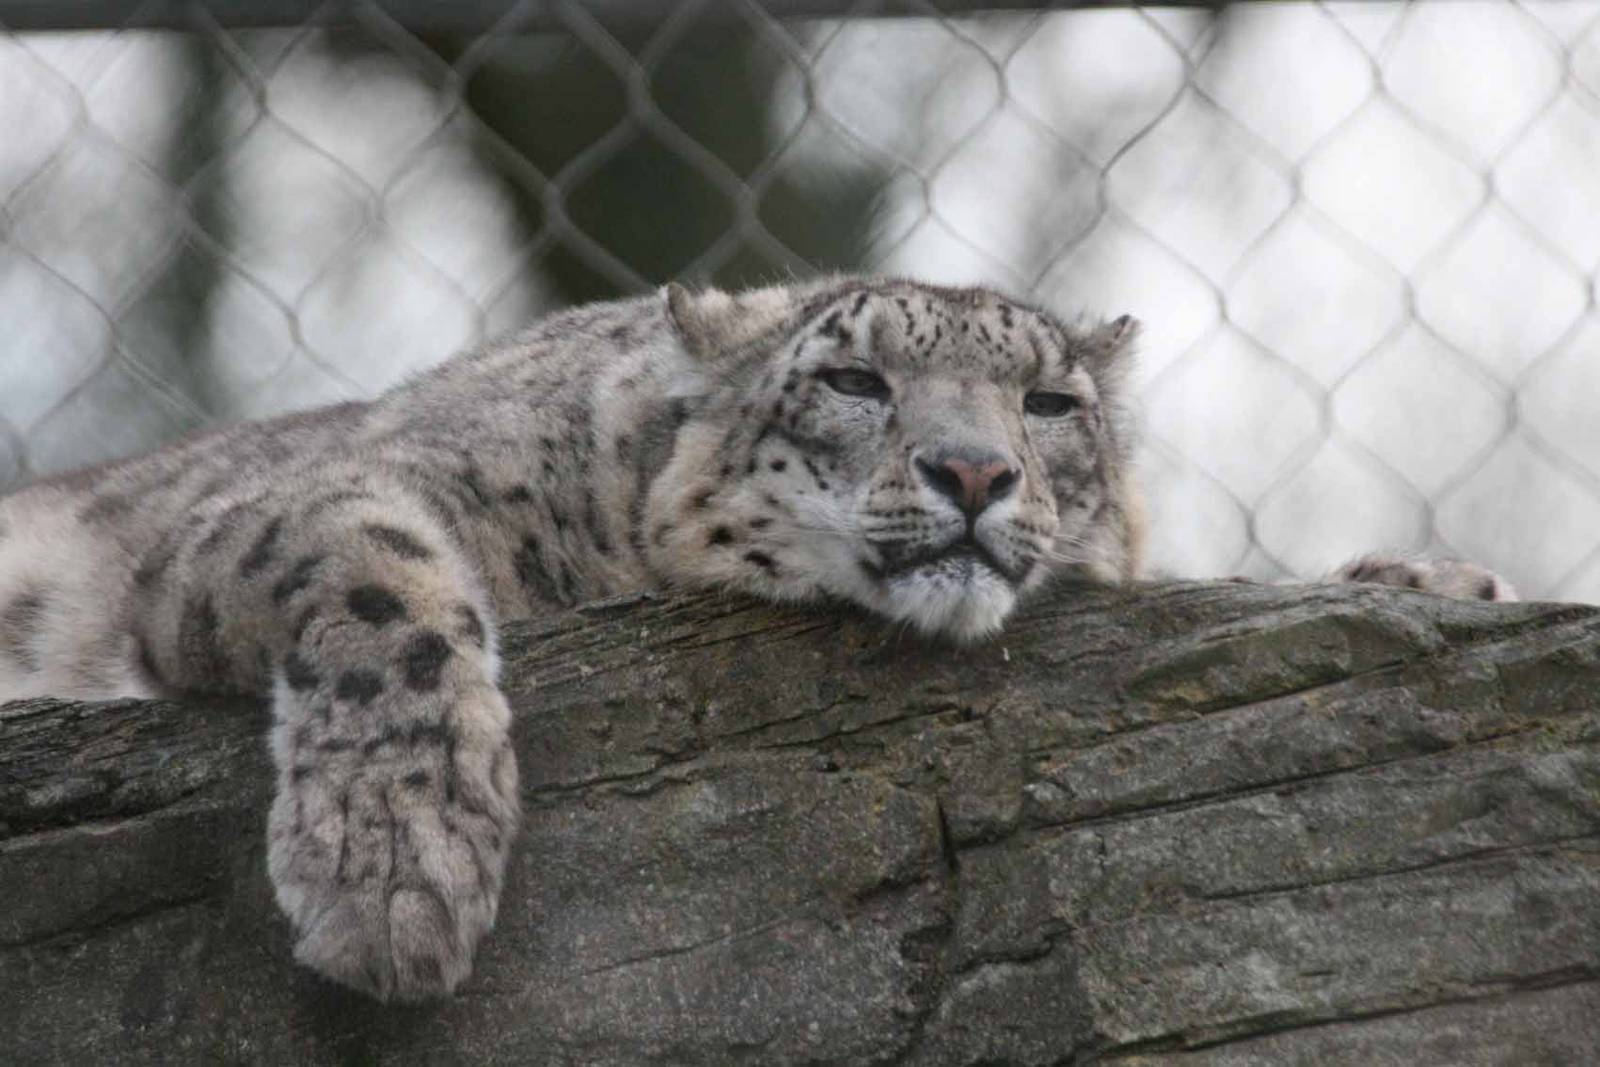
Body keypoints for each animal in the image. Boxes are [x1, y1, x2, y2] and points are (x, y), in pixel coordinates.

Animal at [0, 274, 1515, 1001]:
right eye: (851, 379)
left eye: (1050, 403)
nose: (977, 472)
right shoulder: (293, 503)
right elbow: (386, 571)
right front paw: (396, 873)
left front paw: (1433, 573)